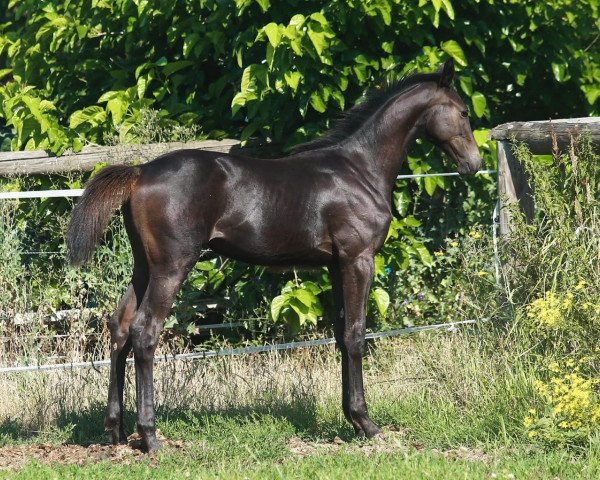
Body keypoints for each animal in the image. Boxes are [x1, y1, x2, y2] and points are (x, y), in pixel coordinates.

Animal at [68, 58, 482, 452]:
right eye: (462, 111)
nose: (474, 164)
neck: (360, 170)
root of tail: (140, 171)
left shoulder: (336, 266)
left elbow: (339, 335)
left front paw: (351, 418)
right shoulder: (358, 259)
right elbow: (355, 335)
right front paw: (366, 424)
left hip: (144, 267)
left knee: (120, 326)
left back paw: (116, 431)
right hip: (172, 267)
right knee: (145, 331)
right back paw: (151, 437)